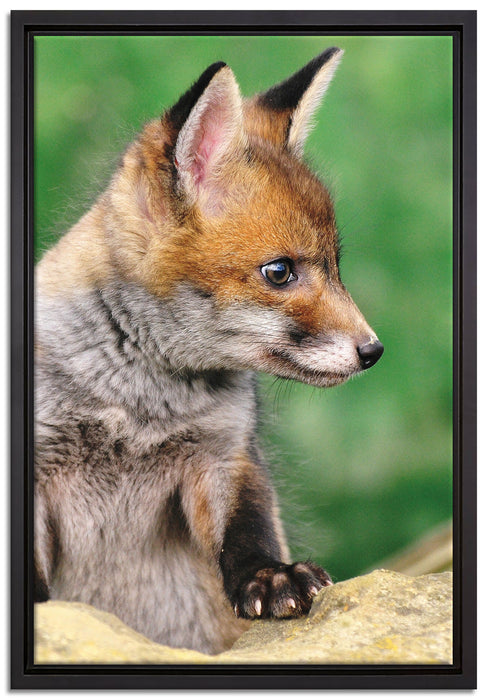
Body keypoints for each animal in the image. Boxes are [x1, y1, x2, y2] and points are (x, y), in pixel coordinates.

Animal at [34, 48, 383, 656]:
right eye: (280, 272)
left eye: (336, 267)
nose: (374, 350)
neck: (136, 407)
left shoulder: (225, 457)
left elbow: (249, 531)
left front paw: (271, 577)